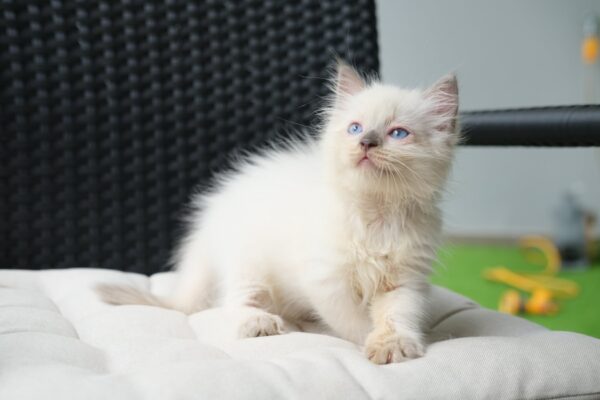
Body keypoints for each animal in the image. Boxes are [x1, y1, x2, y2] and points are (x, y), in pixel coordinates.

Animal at [97, 61, 460, 364]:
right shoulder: (326, 279)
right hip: (247, 262)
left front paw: (392, 344)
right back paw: (260, 322)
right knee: (234, 302)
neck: (376, 214)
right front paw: (362, 340)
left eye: (398, 133)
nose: (366, 143)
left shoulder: (405, 281)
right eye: (355, 128)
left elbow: (397, 315)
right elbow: (351, 320)